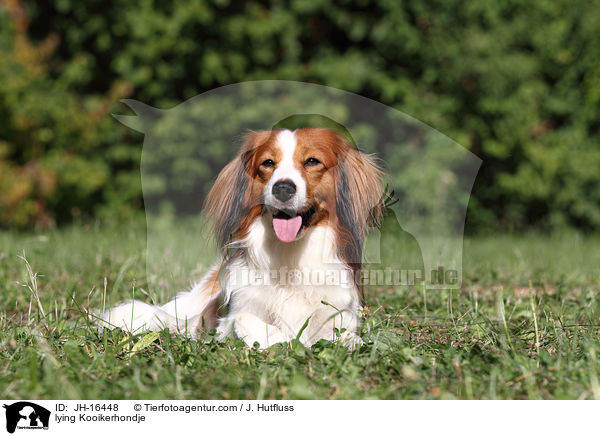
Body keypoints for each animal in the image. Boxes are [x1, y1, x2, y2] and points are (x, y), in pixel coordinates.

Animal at [98, 127, 382, 350]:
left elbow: (343, 338)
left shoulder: (339, 316)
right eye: (268, 163)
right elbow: (250, 323)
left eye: (312, 161)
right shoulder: (231, 314)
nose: (282, 188)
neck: (289, 258)